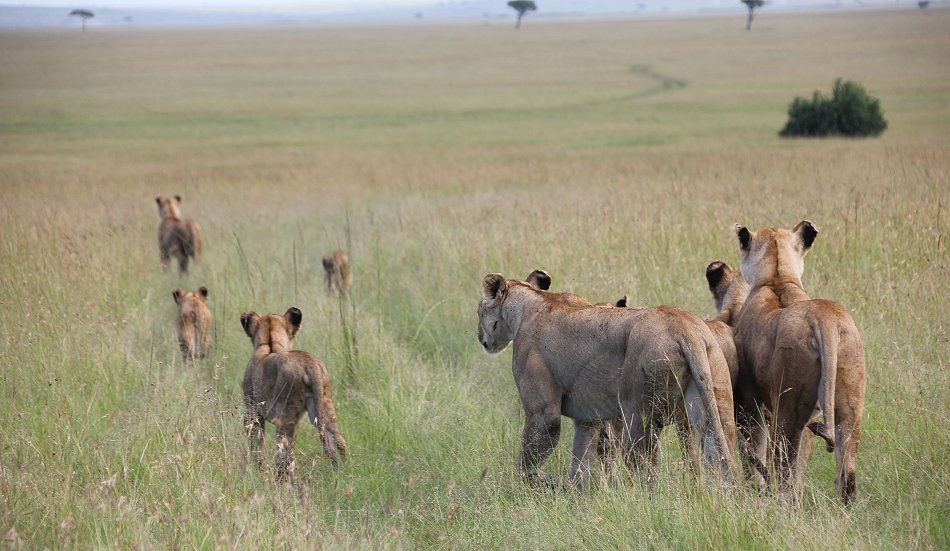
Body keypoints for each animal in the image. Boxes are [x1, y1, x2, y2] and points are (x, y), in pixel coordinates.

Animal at [242, 306, 350, 484]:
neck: (270, 343)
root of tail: (309, 364)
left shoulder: (252, 412)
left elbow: (256, 444)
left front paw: (258, 470)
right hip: (324, 407)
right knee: (338, 443)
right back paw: (341, 474)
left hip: (286, 418)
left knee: (286, 457)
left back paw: (280, 483)